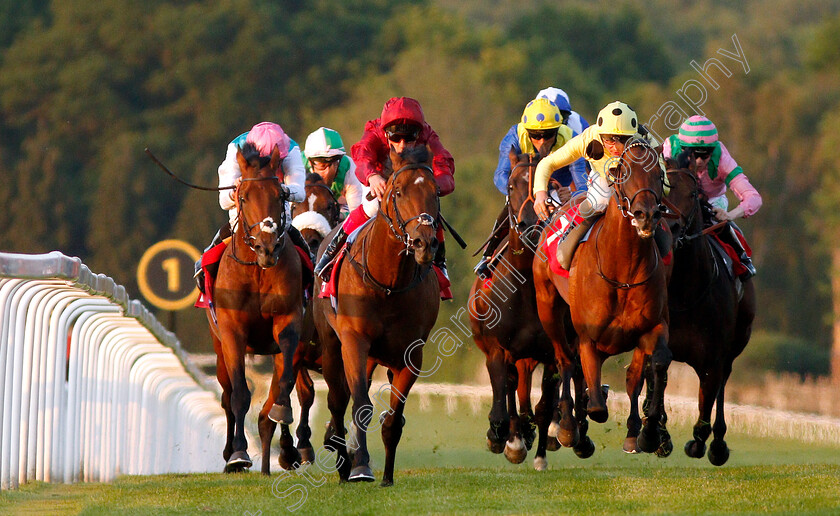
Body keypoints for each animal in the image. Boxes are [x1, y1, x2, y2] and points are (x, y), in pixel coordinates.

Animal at [208, 143, 304, 474]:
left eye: (279, 195)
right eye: (244, 196)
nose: (266, 248)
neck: (259, 272)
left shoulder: (288, 321)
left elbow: (284, 386)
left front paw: (282, 414)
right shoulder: (232, 331)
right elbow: (239, 394)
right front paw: (238, 454)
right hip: (219, 348)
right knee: (226, 396)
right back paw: (229, 452)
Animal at [310, 144, 440, 484]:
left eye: (435, 192)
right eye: (398, 191)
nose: (423, 243)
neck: (389, 284)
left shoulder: (410, 354)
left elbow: (393, 419)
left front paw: (387, 476)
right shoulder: (354, 340)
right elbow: (360, 407)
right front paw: (361, 466)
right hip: (332, 346)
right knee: (337, 400)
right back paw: (341, 457)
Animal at [470, 150, 588, 472]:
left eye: (549, 186)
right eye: (511, 186)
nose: (528, 225)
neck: (523, 288)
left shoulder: (550, 351)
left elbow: (545, 405)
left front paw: (543, 449)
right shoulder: (498, 349)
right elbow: (503, 400)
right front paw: (505, 438)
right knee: (514, 389)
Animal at [536, 138, 672, 456]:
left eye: (658, 174)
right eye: (622, 173)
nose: (646, 215)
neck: (623, 271)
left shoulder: (652, 327)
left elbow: (650, 368)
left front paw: (646, 433)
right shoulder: (588, 335)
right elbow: (595, 400)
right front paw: (573, 425)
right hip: (548, 308)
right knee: (565, 361)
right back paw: (568, 428)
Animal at [624, 156, 756, 464]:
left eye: (694, 193)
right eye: (662, 191)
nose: (670, 230)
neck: (685, 293)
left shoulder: (714, 358)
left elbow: (707, 402)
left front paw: (699, 441)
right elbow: (654, 380)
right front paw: (655, 434)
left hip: (734, 346)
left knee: (721, 387)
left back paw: (717, 444)